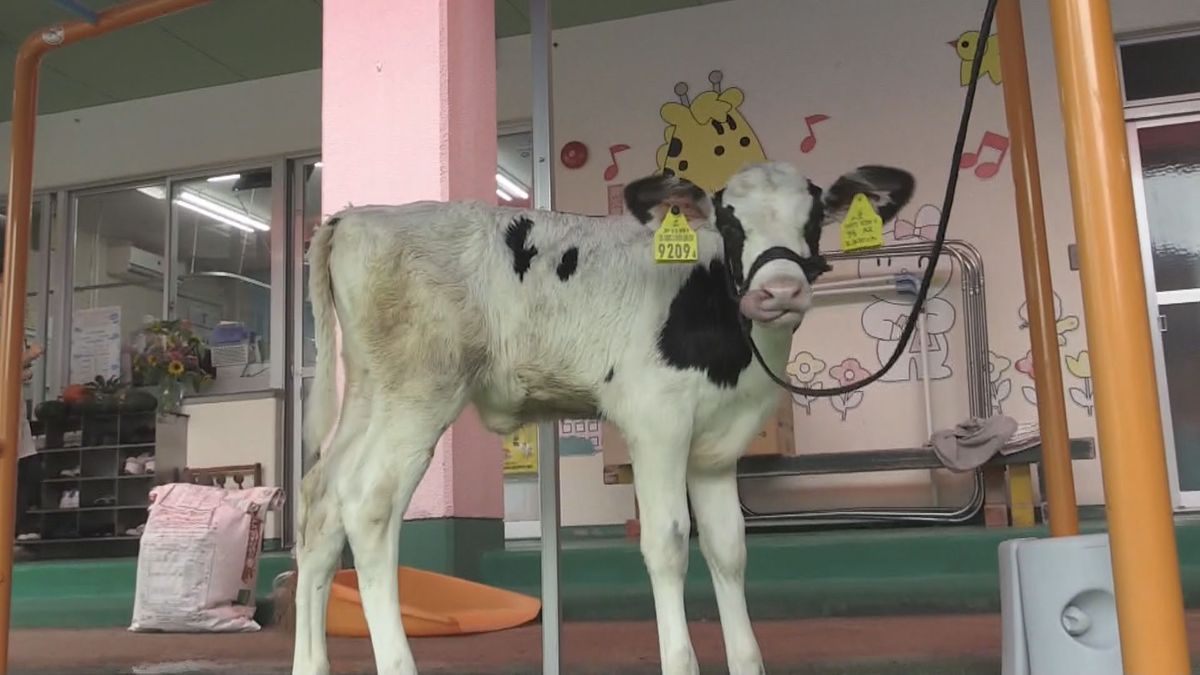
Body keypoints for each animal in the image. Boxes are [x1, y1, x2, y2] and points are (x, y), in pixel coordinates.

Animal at [290, 158, 907, 672]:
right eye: (731, 223)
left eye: (814, 219)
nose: (779, 291)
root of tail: (356, 217)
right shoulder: (657, 423)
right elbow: (669, 542)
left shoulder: (715, 448)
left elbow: (728, 548)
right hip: (418, 394)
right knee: (368, 503)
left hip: (371, 394)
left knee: (322, 499)